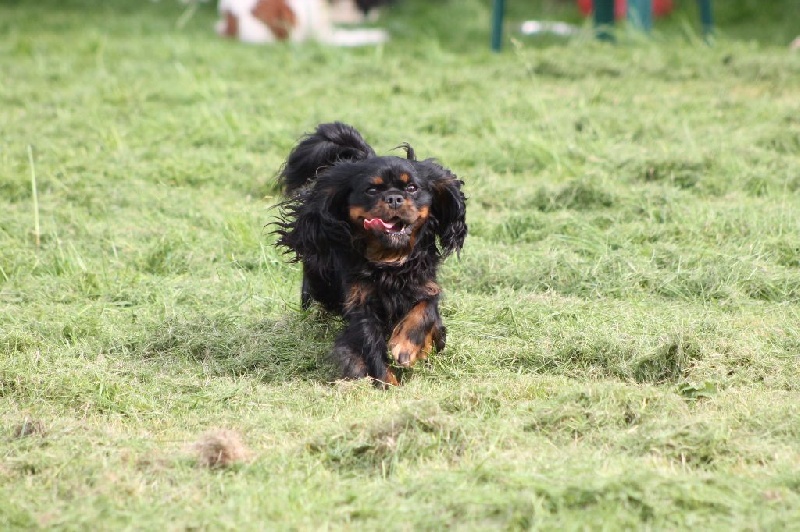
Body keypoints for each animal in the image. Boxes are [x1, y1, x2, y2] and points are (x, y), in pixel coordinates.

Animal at [276, 122, 466, 384]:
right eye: (372, 190)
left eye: (412, 188)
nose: (394, 198)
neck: (389, 260)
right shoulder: (361, 304)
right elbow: (370, 347)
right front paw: (388, 383)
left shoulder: (425, 285)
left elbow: (426, 310)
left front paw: (406, 348)